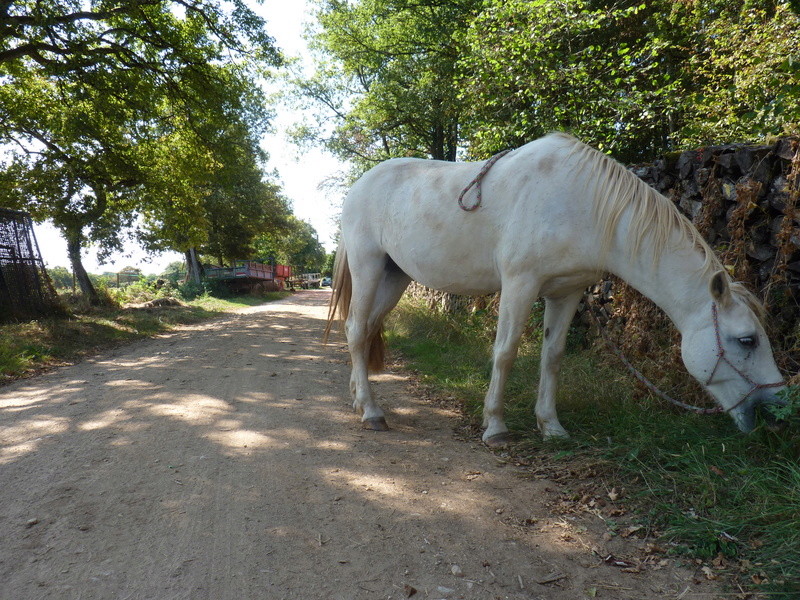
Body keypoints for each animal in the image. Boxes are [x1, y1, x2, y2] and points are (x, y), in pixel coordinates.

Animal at [324, 134, 780, 448]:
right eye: (747, 340)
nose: (777, 409)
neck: (582, 204)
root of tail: (359, 186)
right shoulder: (520, 284)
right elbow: (506, 352)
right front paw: (496, 427)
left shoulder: (567, 292)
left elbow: (552, 357)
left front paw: (551, 426)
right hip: (368, 268)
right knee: (355, 330)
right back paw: (371, 412)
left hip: (394, 276)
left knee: (364, 330)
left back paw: (359, 400)